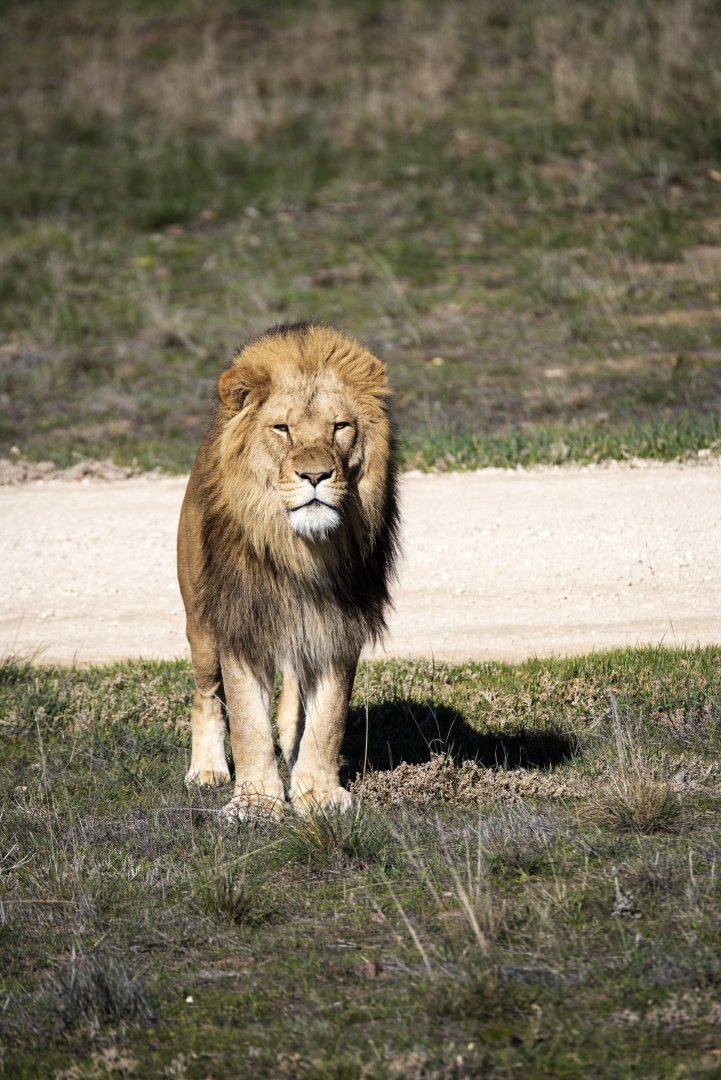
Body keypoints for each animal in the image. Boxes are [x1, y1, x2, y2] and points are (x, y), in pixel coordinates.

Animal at [177, 323, 399, 818]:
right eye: (282, 428)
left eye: (340, 427)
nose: (314, 476)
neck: (300, 551)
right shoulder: (240, 624)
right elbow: (246, 721)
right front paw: (257, 802)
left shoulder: (337, 628)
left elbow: (328, 718)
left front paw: (317, 793)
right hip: (200, 622)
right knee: (206, 695)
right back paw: (207, 770)